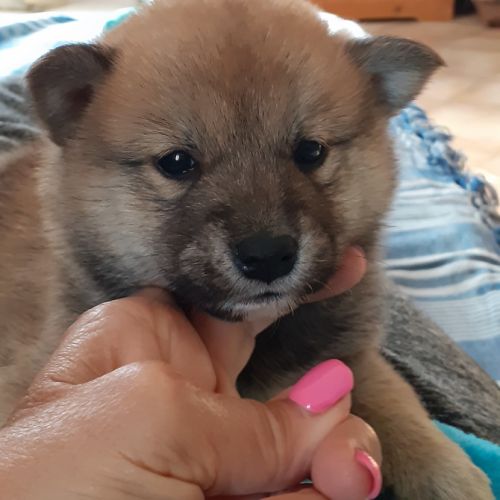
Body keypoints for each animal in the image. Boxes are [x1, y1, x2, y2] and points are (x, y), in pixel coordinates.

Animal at [0, 0, 493, 498]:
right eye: (176, 162)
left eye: (311, 151)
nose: (267, 255)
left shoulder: (348, 357)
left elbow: (401, 410)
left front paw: (452, 477)